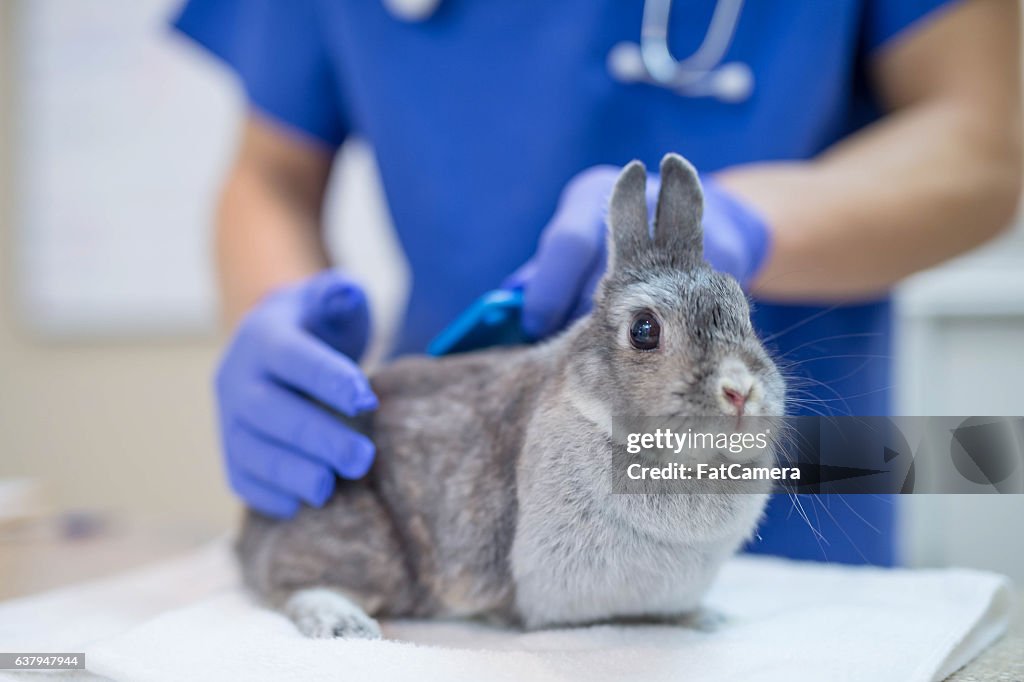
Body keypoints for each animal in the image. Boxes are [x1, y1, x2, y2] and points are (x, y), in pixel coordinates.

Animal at [237, 153, 782, 638]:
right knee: (294, 585)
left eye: (745, 313)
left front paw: (704, 618)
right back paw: (343, 624)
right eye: (644, 330)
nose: (740, 391)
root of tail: (251, 532)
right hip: (364, 544)